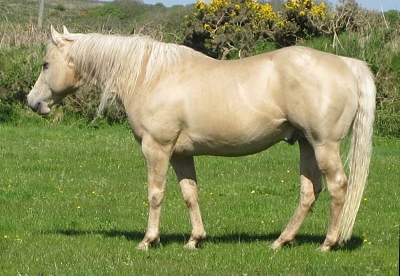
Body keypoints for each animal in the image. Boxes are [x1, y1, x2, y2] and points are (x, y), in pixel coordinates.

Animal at [27, 26, 376, 252]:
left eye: (45, 64)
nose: (33, 102)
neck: (151, 75)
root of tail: (348, 64)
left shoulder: (156, 148)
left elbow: (155, 194)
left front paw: (148, 241)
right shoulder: (181, 154)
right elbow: (189, 194)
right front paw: (195, 240)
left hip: (323, 145)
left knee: (337, 187)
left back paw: (327, 244)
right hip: (306, 144)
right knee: (309, 191)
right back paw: (281, 241)